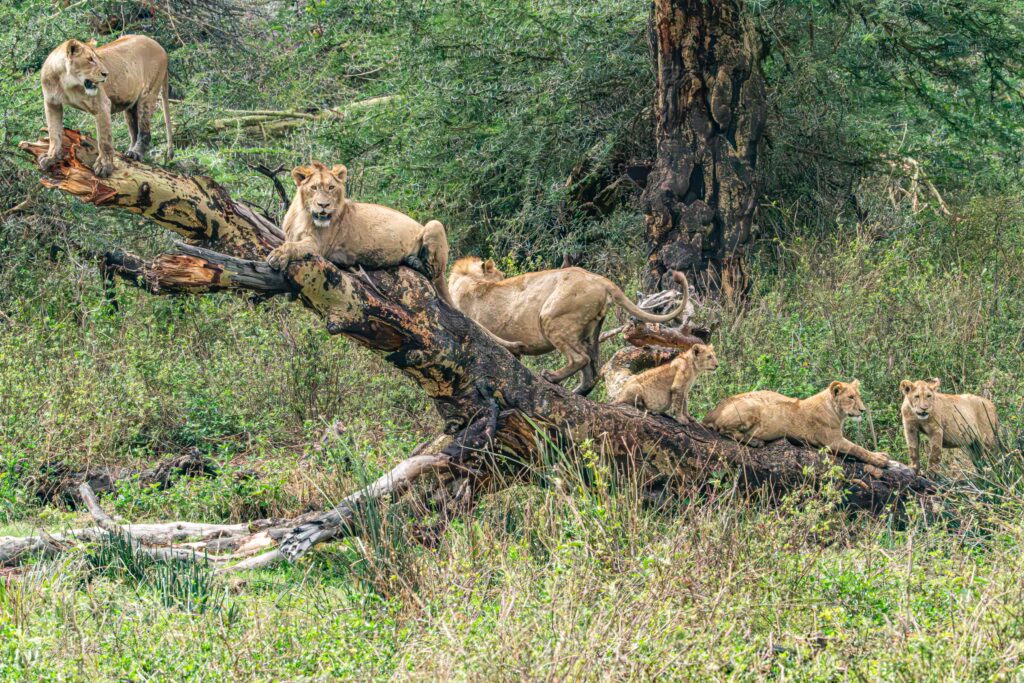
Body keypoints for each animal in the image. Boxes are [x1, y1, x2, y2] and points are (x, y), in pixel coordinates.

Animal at [39, 36, 172, 178]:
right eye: (90, 59)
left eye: (97, 58)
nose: (106, 74)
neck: (66, 83)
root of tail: (160, 47)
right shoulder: (52, 103)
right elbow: (54, 133)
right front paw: (51, 158)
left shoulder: (102, 105)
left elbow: (104, 139)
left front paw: (104, 166)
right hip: (130, 105)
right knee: (134, 131)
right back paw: (130, 153)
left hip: (148, 94)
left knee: (145, 132)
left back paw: (135, 154)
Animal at [448, 255, 688, 395]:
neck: (466, 281)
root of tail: (601, 280)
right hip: (589, 331)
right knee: (592, 369)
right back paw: (575, 391)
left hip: (552, 318)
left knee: (579, 359)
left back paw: (551, 377)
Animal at [700, 378, 892, 471]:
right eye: (851, 397)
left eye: (859, 396)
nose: (862, 410)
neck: (837, 412)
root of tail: (712, 412)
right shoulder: (832, 441)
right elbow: (858, 449)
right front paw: (880, 459)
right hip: (751, 406)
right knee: (724, 429)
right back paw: (755, 441)